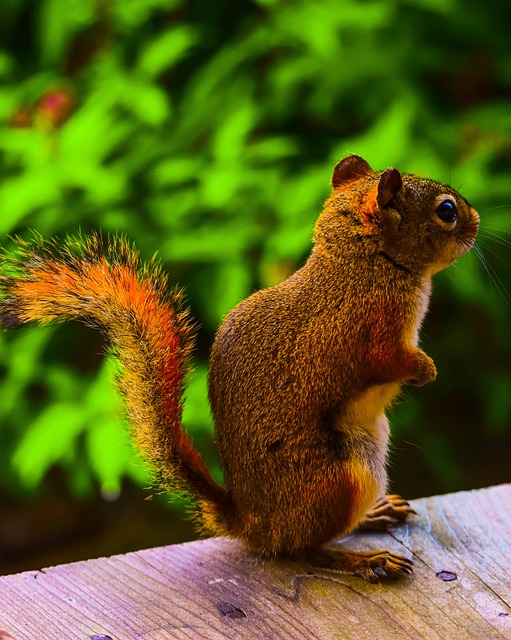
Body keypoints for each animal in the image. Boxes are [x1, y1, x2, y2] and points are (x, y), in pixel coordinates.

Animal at [0, 154, 480, 580]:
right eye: (446, 211)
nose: (476, 221)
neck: (366, 265)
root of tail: (251, 524)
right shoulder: (367, 331)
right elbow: (388, 359)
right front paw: (426, 369)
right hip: (342, 478)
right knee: (303, 550)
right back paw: (365, 561)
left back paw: (376, 516)